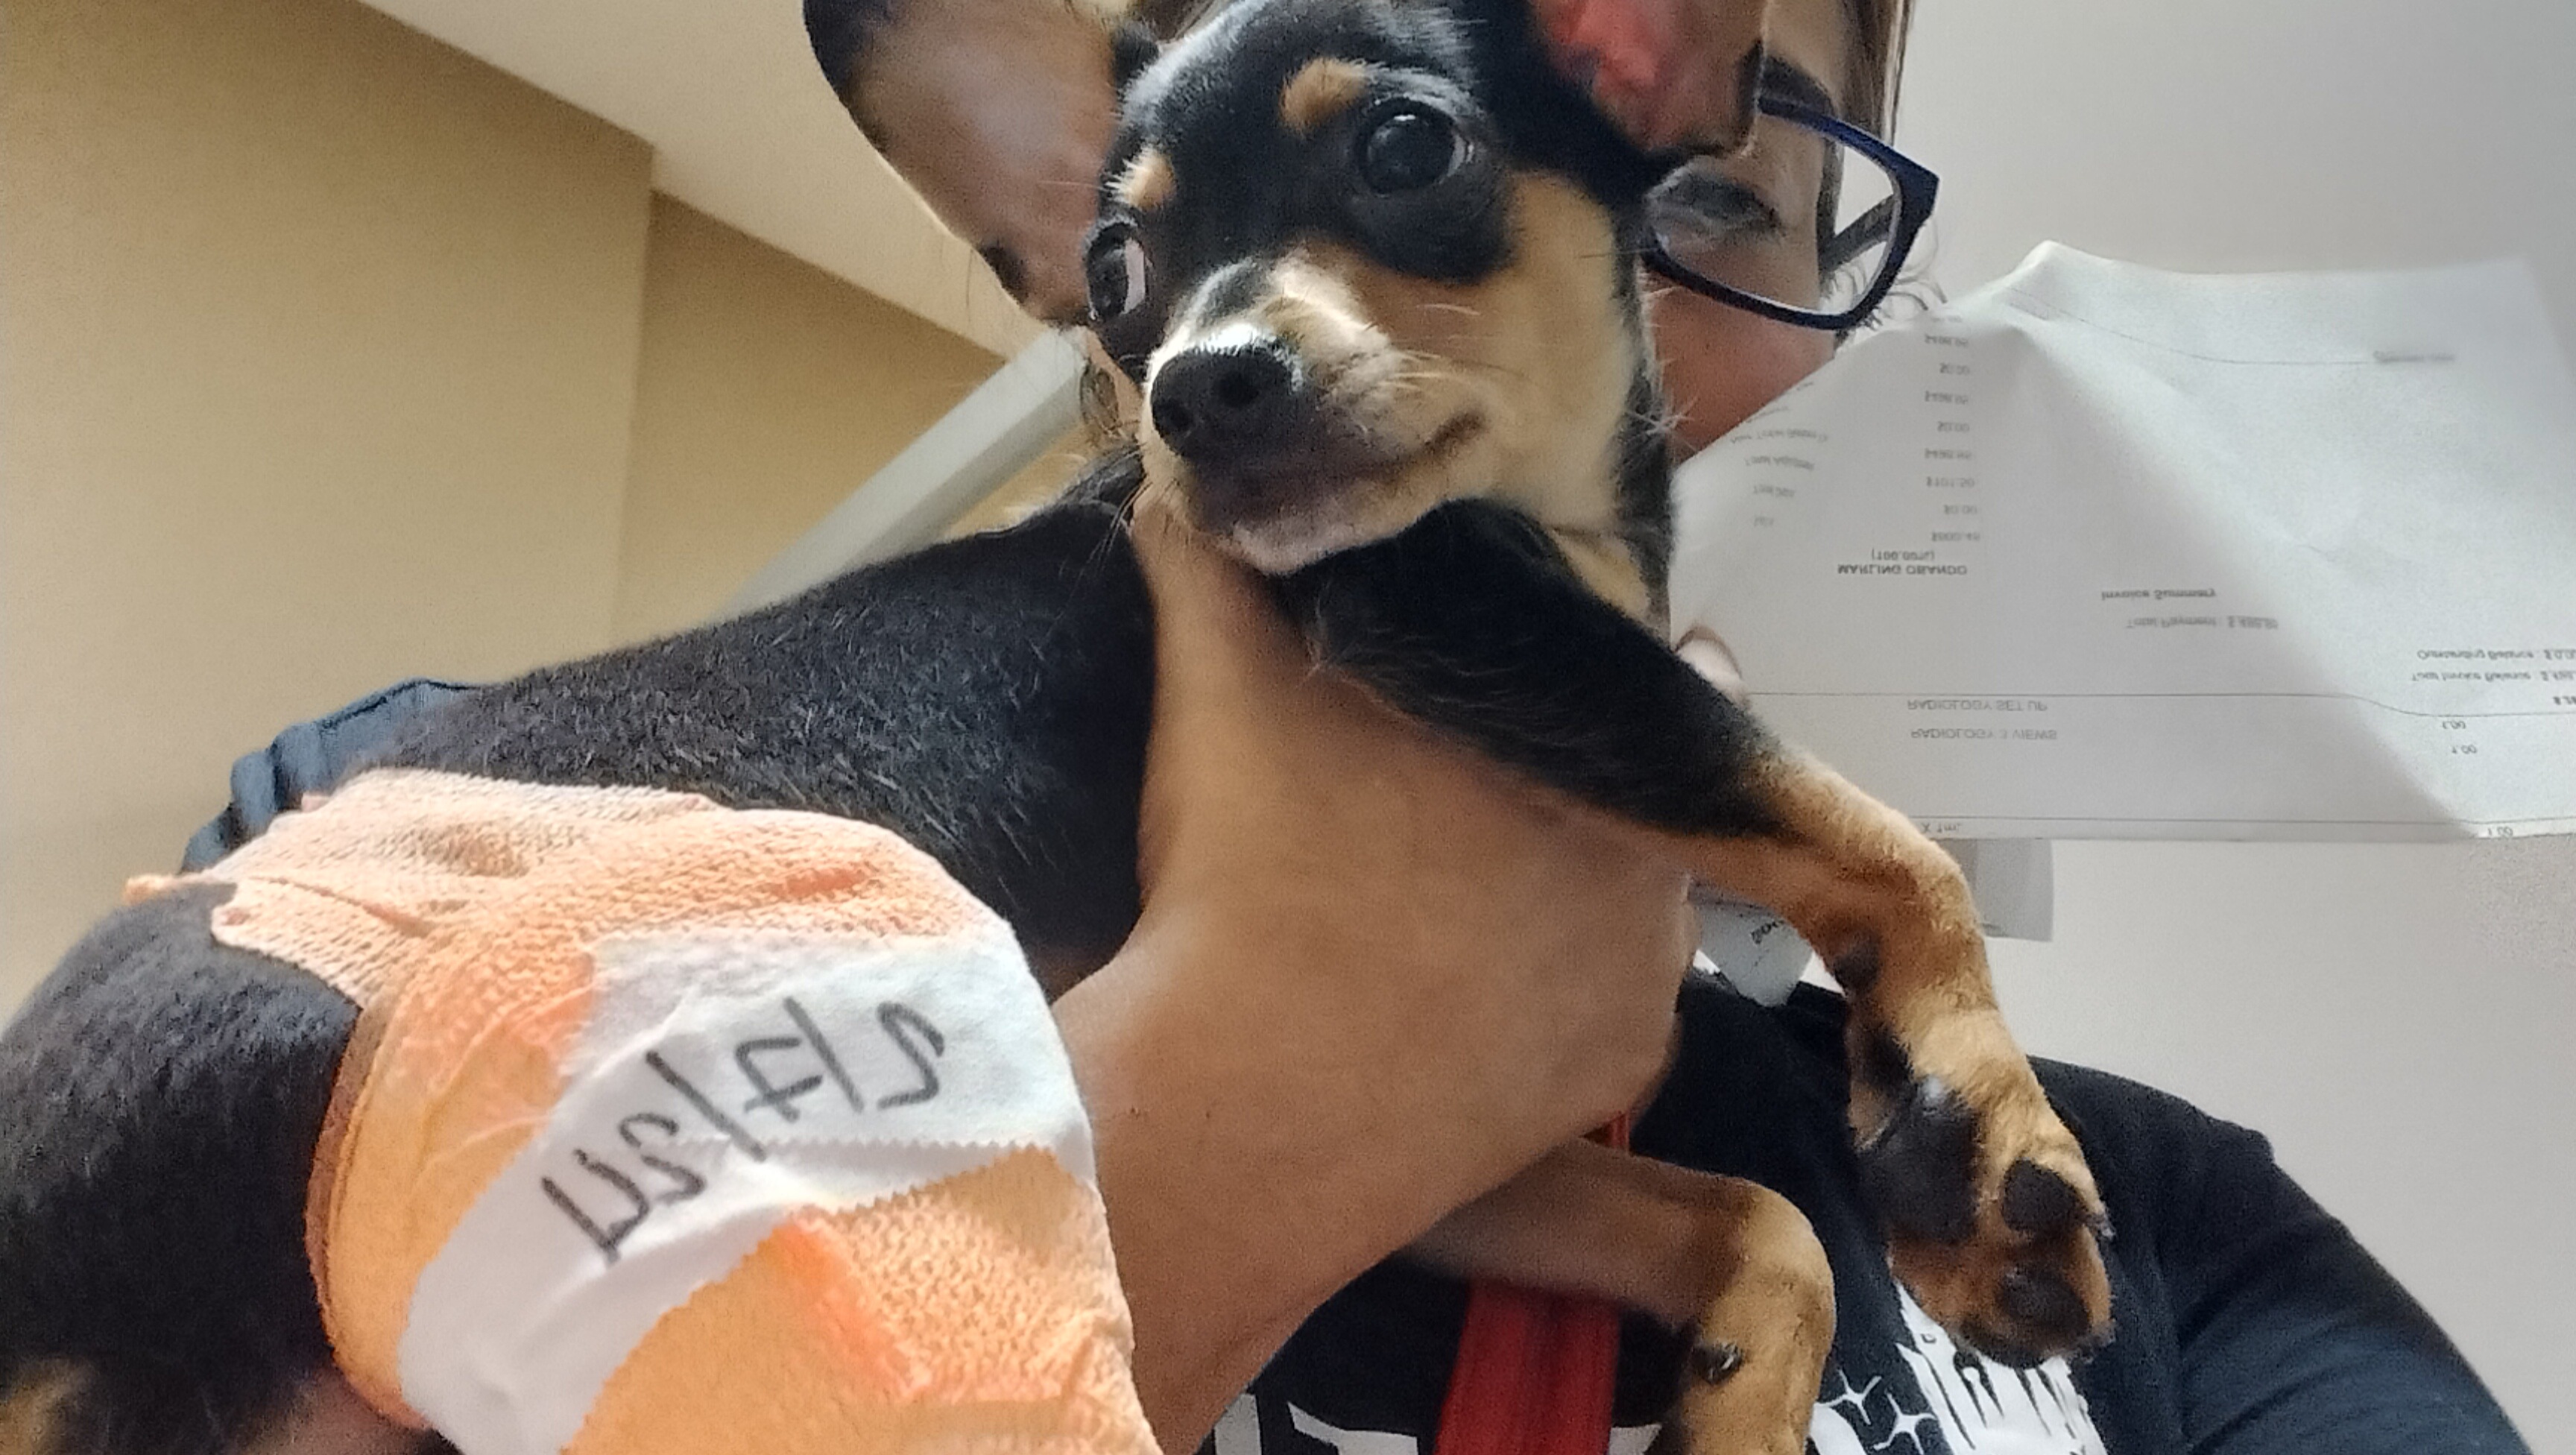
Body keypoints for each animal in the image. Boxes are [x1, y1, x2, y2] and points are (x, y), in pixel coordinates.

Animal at [0, 0, 2112, 1451]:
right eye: (1113, 275)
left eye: (1406, 151)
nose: (1194, 390)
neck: (1564, 528)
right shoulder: (1449, 612)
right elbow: (1870, 829)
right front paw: (1991, 1127)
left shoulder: (1450, 1162)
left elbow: (1753, 1210)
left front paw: (1751, 1379)